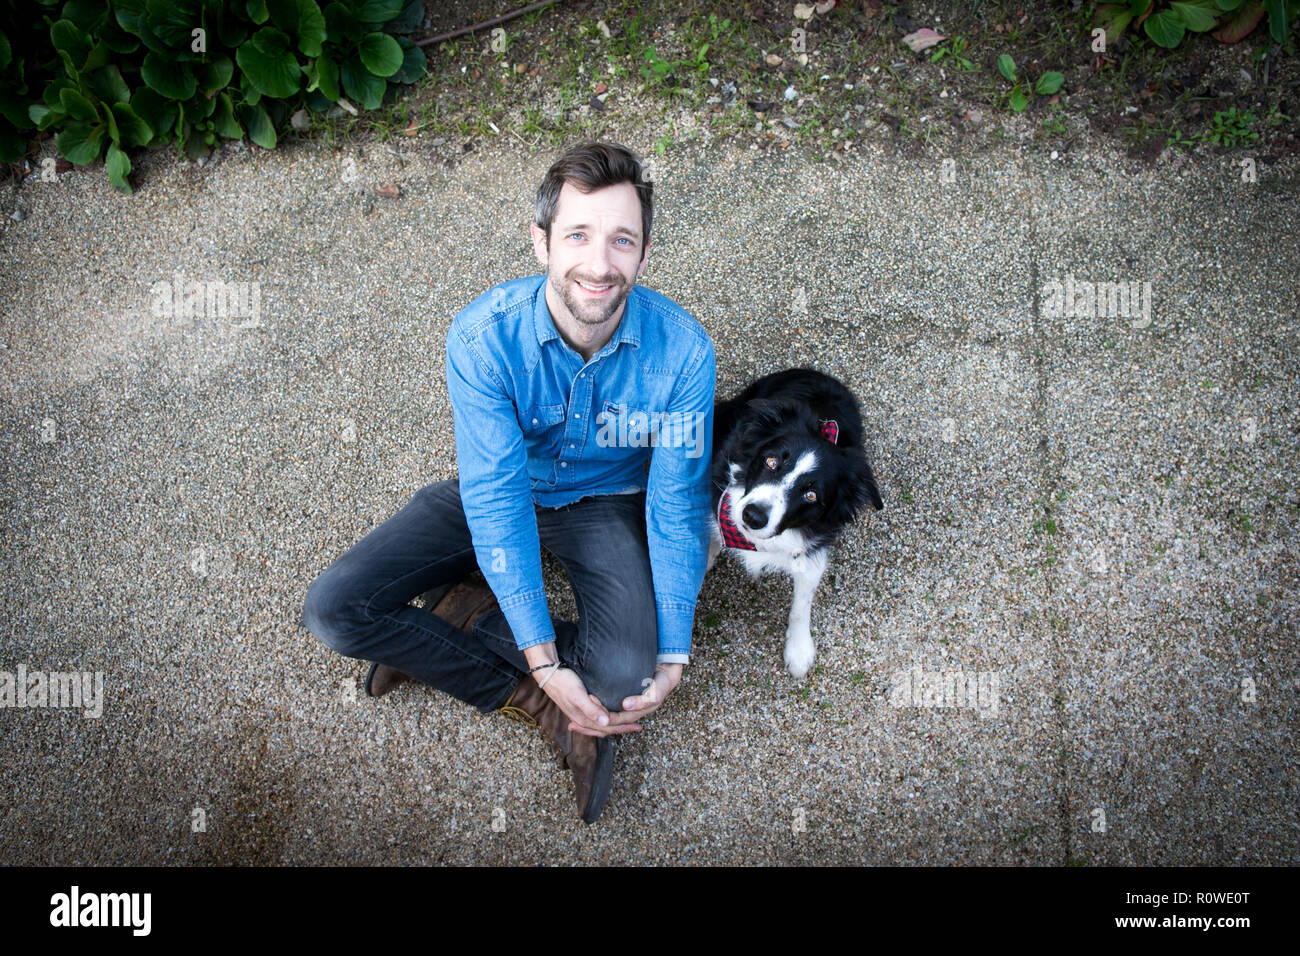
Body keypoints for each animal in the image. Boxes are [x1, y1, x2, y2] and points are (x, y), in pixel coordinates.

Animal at [712, 369, 883, 681]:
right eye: (771, 461)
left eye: (811, 495)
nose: (753, 516)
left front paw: (799, 650)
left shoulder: (814, 549)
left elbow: (801, 606)